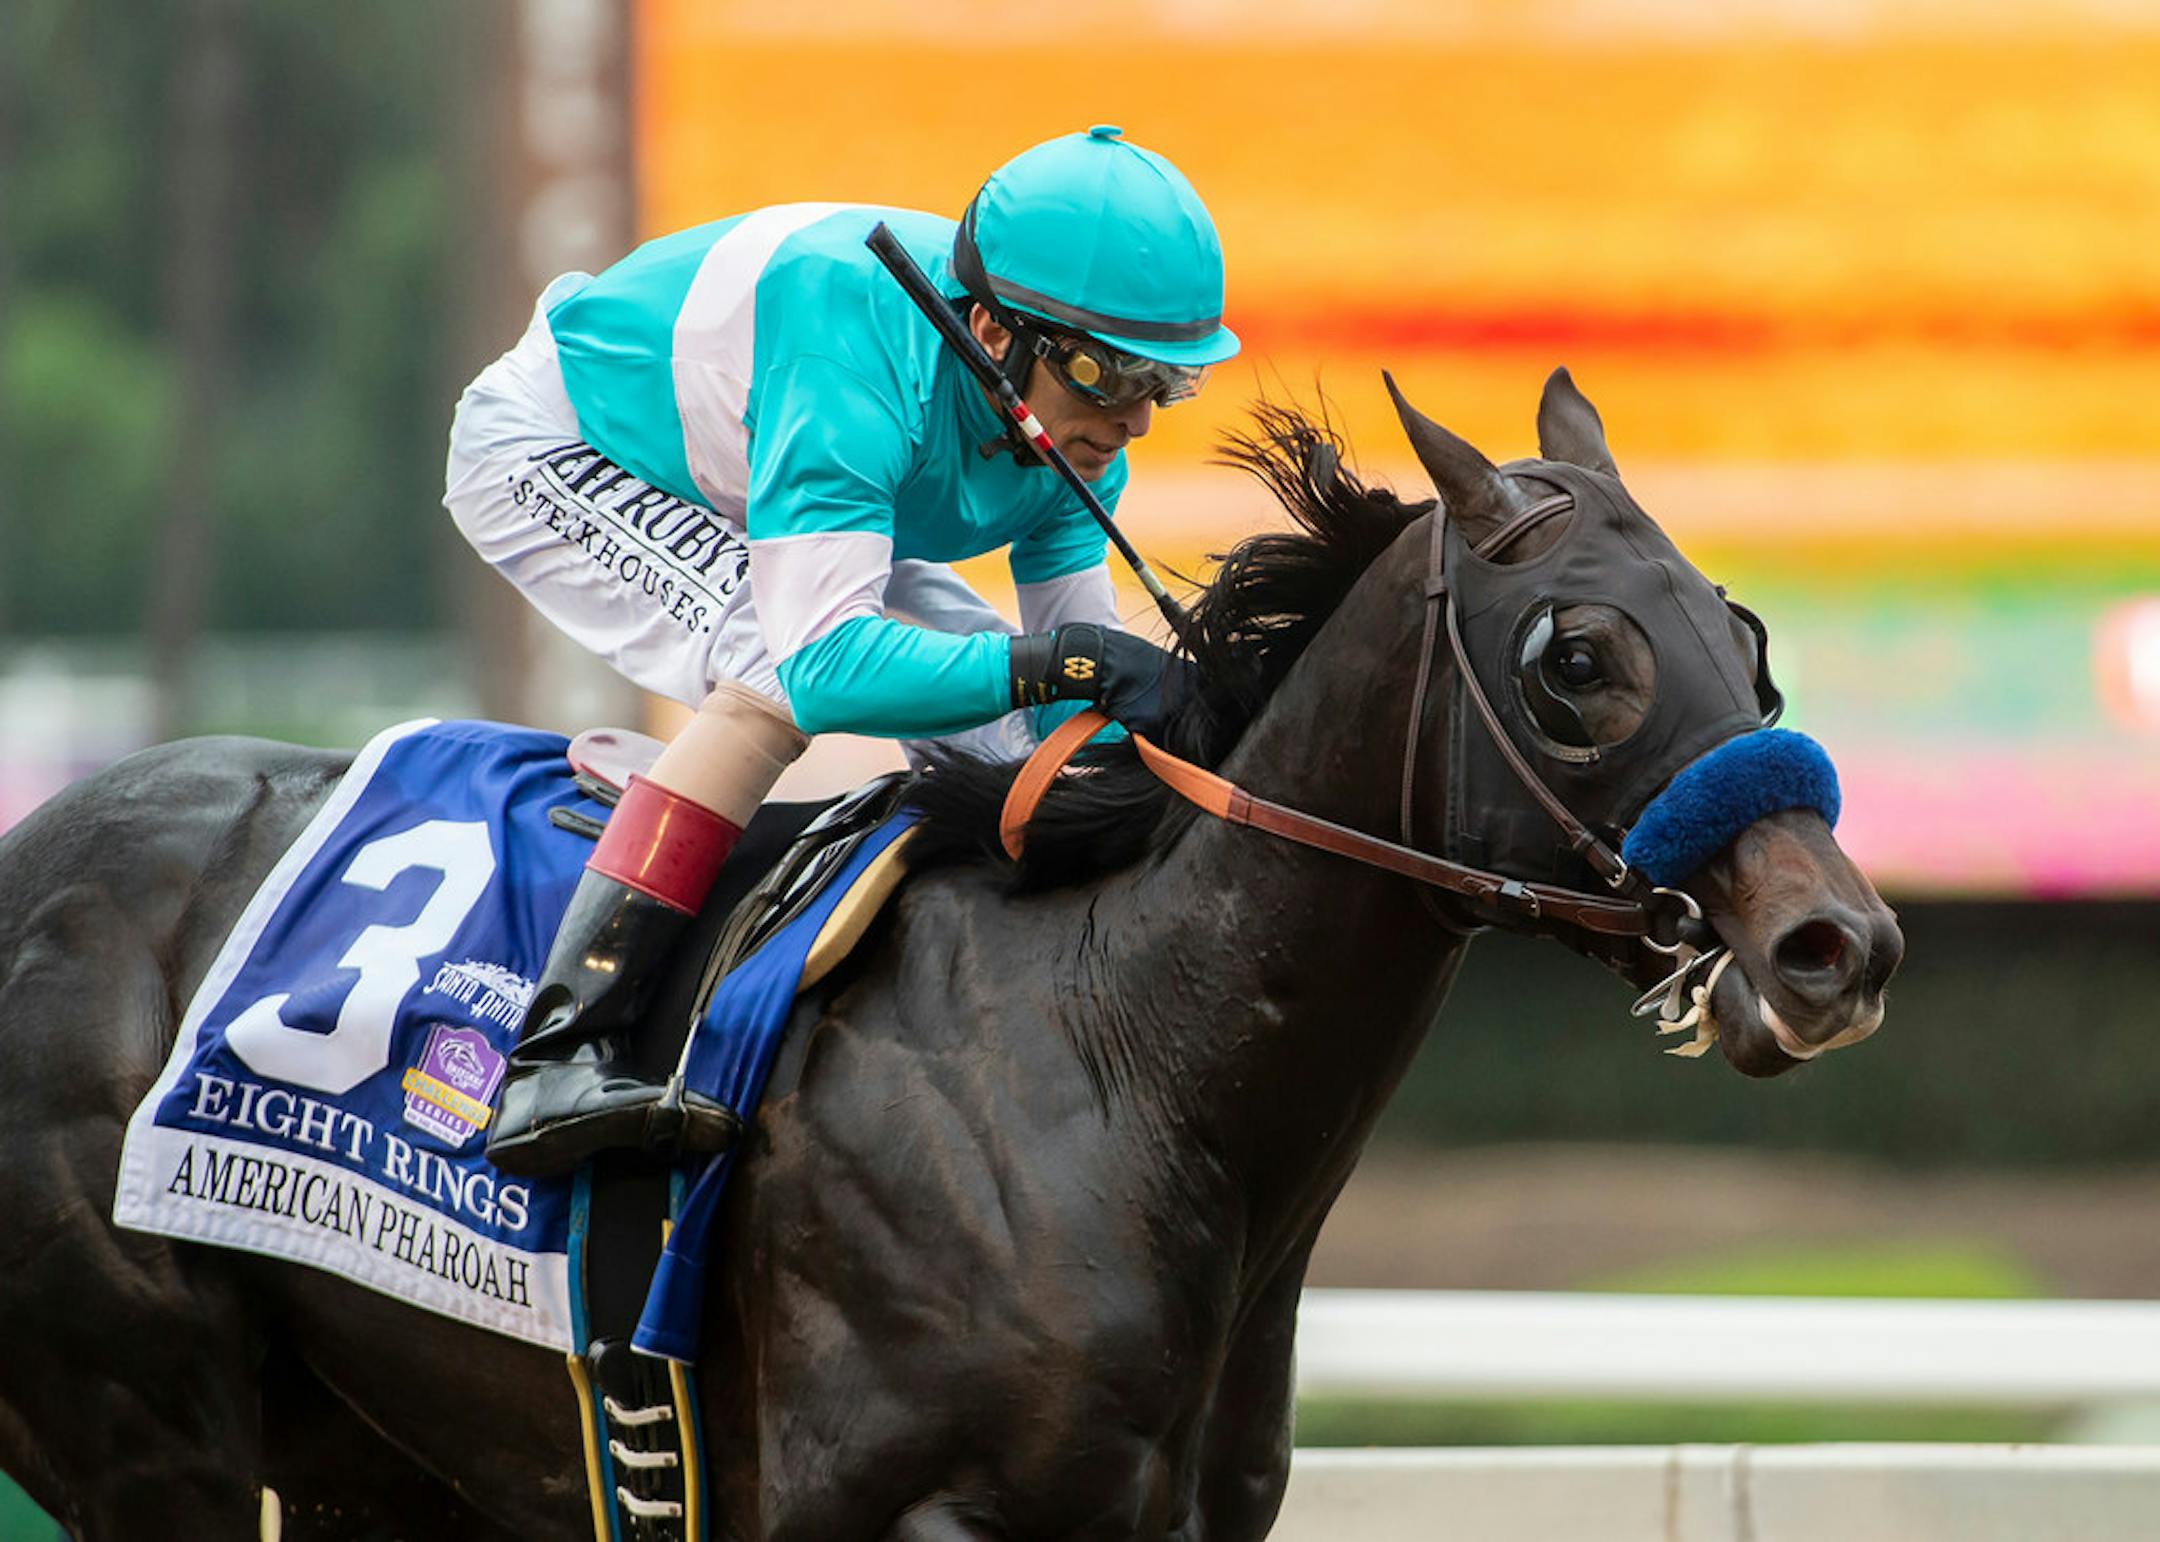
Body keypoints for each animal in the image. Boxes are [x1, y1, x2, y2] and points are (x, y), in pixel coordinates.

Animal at [0, 371, 1900, 1539]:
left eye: (1739, 628)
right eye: (1579, 656)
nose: (1836, 944)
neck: (1122, 1061)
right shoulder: (894, 1502)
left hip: (374, 1453)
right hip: (147, 1422)